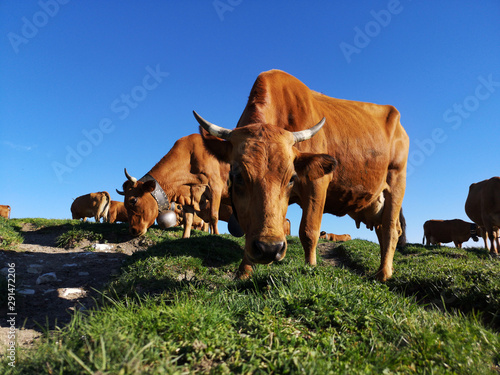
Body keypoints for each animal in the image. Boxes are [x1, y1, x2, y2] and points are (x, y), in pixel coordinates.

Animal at [193, 70, 408, 282]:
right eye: (238, 176)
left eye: (291, 178)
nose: (269, 249)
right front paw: (244, 271)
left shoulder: (317, 183)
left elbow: (308, 230)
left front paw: (310, 268)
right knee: (384, 228)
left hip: (397, 181)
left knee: (390, 230)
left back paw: (384, 274)